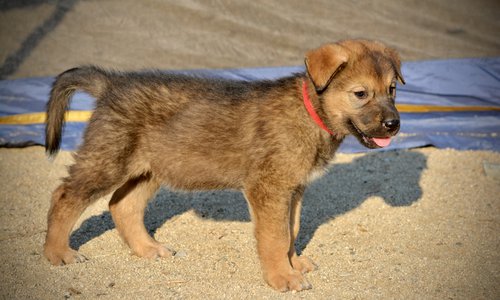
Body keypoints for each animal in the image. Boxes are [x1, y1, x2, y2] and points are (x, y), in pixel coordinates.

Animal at [44, 38, 406, 292]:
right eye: (360, 93)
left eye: (392, 90)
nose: (394, 125)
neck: (310, 111)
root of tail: (111, 84)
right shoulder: (269, 188)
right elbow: (275, 237)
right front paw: (282, 277)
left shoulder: (293, 189)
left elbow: (291, 230)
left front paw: (293, 264)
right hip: (108, 160)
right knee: (65, 197)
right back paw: (57, 253)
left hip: (152, 168)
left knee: (123, 205)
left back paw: (148, 249)